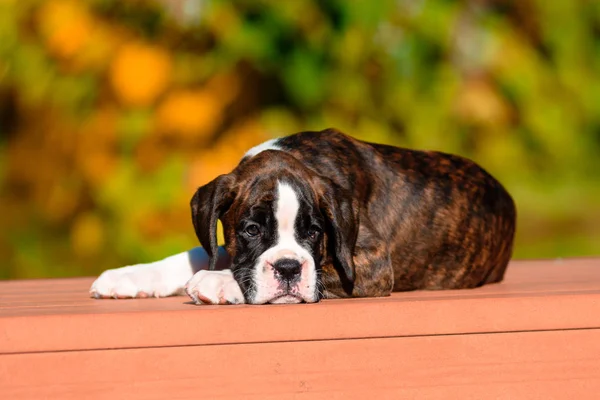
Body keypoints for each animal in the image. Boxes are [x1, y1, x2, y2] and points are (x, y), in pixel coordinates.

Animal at [89, 130, 516, 304]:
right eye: (251, 229)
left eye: (314, 232)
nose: (289, 268)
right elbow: (199, 254)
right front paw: (130, 276)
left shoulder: (373, 262)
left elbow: (323, 268)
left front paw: (221, 282)